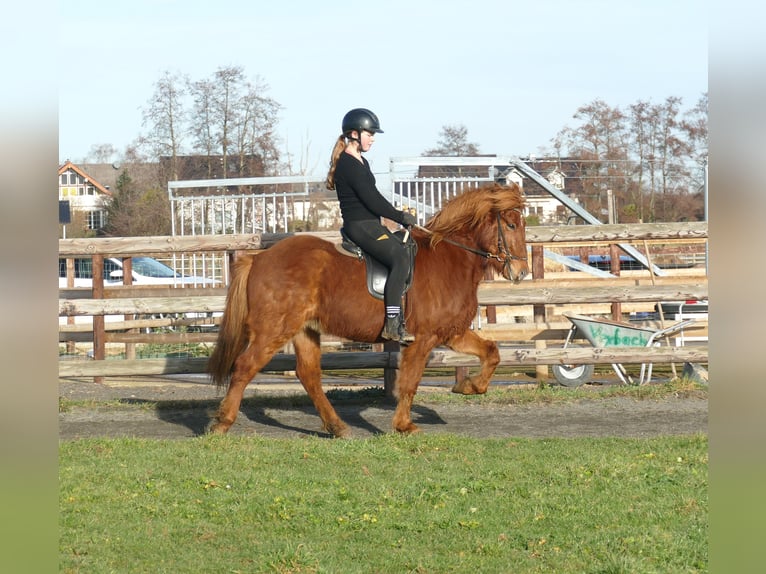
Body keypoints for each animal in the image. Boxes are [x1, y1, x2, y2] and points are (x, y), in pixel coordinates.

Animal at [206, 181, 528, 437]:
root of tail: (258, 259)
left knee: (308, 375)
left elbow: (492, 352)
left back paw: (337, 427)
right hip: (274, 330)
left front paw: (469, 387)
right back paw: (222, 422)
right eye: (511, 225)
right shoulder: (423, 338)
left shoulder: (452, 333)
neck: (450, 257)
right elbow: (409, 382)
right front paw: (404, 425)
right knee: (245, 366)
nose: (521, 272)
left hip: (304, 330)